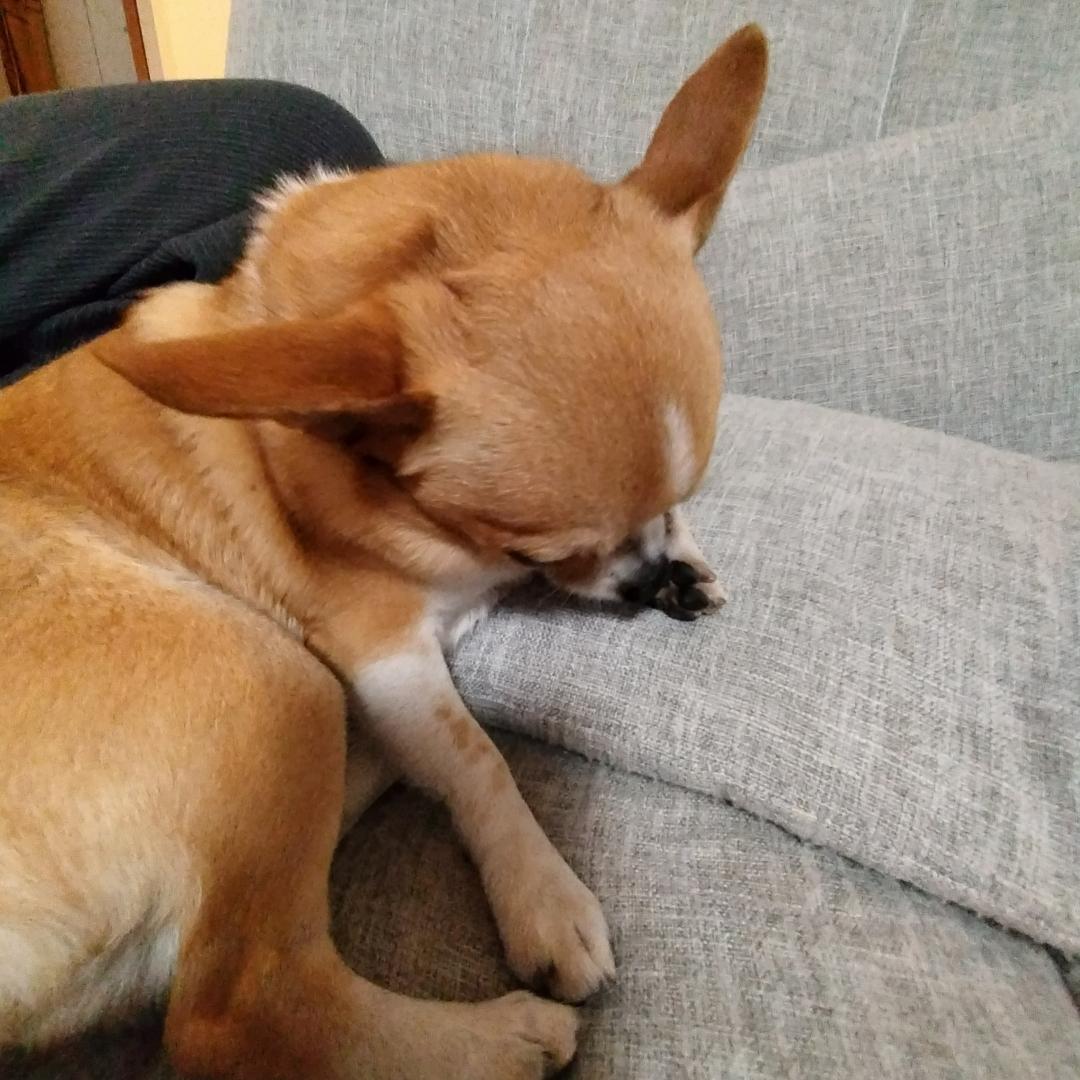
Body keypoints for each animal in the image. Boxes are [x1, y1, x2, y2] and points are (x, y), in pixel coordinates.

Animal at [0, 25, 766, 1079]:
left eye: (677, 501)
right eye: (541, 546)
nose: (646, 581)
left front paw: (684, 557)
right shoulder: (383, 649)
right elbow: (478, 755)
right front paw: (543, 895)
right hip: (274, 675)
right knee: (243, 1012)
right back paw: (501, 1037)